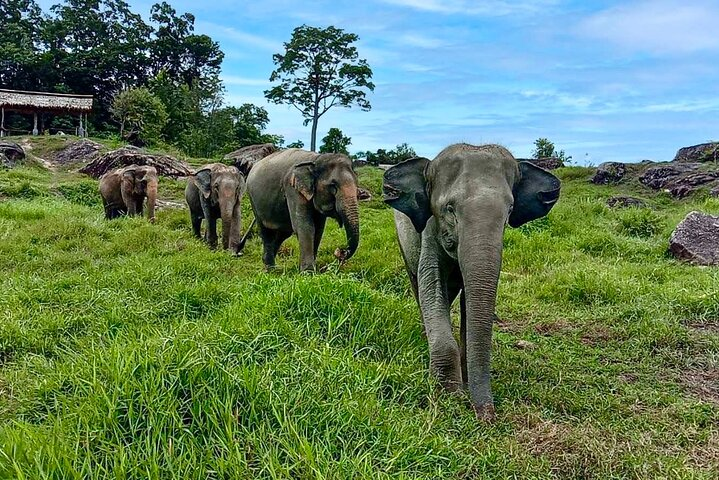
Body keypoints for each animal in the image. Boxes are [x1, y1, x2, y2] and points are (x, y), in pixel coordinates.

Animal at [383, 143, 561, 421]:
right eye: (449, 208)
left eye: (510, 210)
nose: (487, 417)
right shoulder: (430, 230)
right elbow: (431, 282)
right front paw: (450, 396)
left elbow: (471, 298)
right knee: (417, 286)